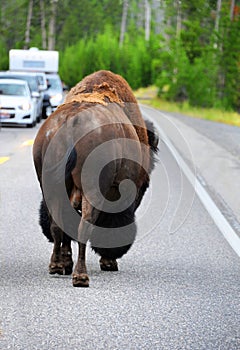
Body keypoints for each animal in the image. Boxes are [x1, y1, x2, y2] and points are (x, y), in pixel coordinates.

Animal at [33, 70, 158, 288]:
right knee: (85, 225)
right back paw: (81, 277)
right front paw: (108, 261)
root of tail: (71, 123)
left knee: (57, 225)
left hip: (50, 186)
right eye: (145, 185)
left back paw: (56, 266)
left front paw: (66, 262)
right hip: (91, 190)